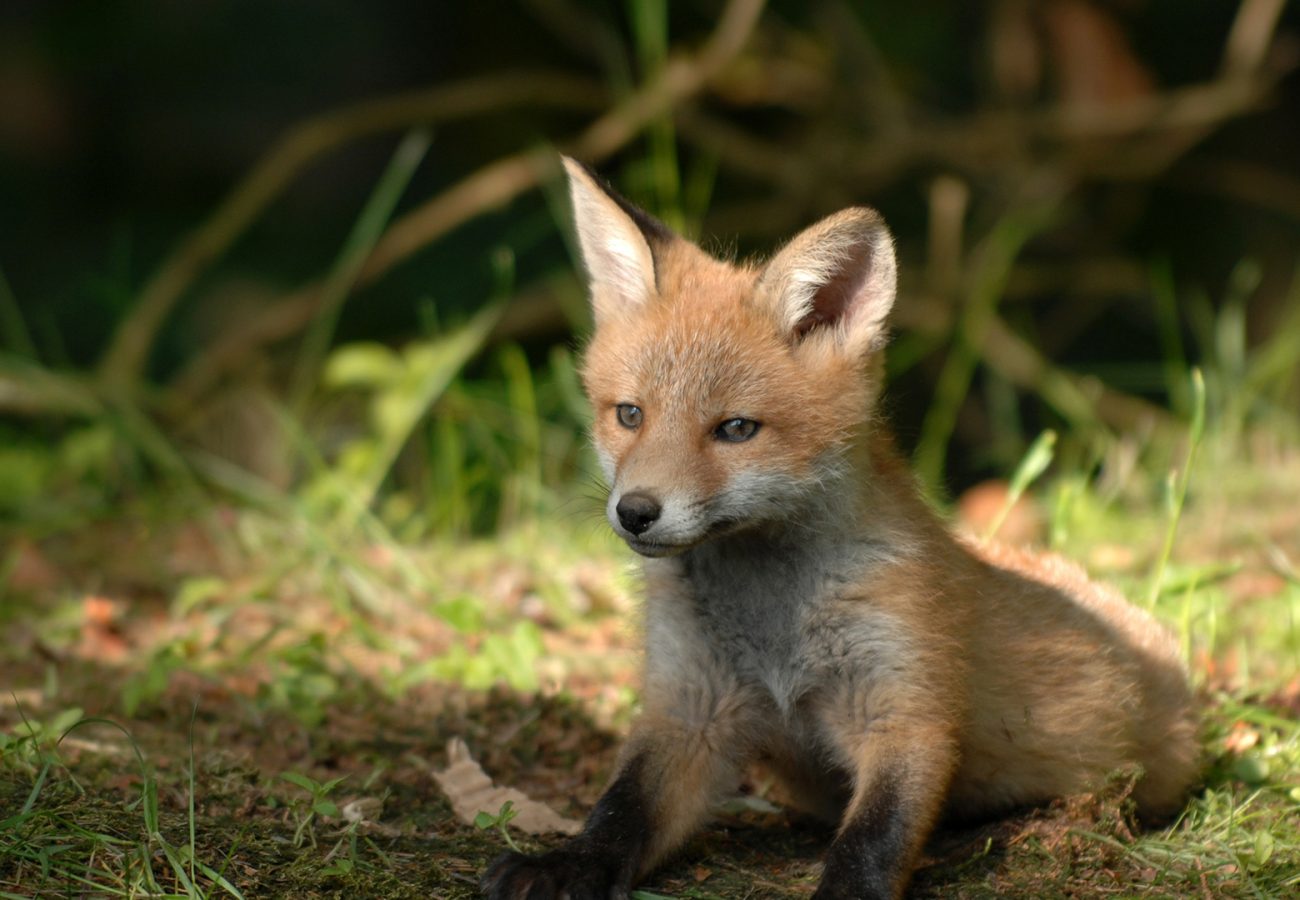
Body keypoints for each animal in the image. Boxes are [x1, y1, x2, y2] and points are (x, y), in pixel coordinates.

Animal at [481, 156, 1200, 900]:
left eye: (735, 429)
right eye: (629, 415)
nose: (636, 511)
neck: (772, 623)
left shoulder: (904, 707)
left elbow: (873, 837)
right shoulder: (689, 710)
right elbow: (622, 809)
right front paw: (565, 863)